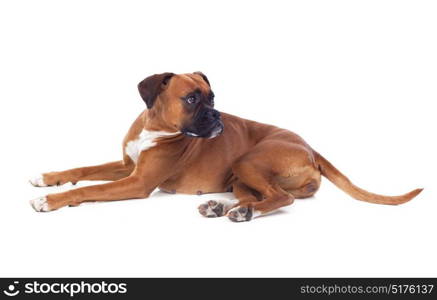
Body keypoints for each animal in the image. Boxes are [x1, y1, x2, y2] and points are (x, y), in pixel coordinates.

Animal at [28, 72, 422, 221]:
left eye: (213, 97)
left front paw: (50, 200)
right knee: (263, 196)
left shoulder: (137, 182)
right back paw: (225, 207)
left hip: (248, 161)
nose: (217, 114)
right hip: (240, 177)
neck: (156, 126)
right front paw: (47, 178)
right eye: (191, 98)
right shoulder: (127, 166)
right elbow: (83, 170)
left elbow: (90, 188)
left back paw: (241, 213)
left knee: (281, 199)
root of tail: (310, 147)